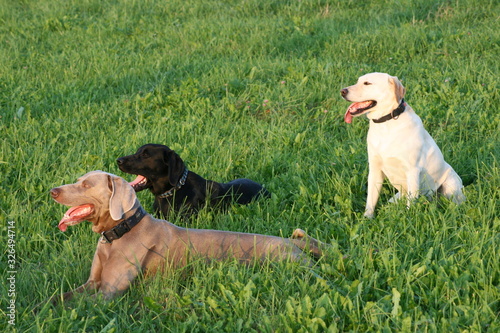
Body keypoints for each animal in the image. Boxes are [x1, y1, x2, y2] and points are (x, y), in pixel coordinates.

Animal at [49, 171, 324, 300]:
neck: (119, 232)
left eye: (86, 185)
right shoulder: (91, 283)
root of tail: (291, 241)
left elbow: (84, 306)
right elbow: (60, 298)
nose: (52, 191)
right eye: (78, 180)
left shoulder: (109, 292)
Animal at [340, 72, 464, 217]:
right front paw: (367, 218)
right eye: (358, 81)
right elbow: (371, 199)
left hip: (451, 185)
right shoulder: (375, 169)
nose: (342, 91)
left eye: (367, 83)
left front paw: (409, 217)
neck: (386, 124)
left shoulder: (412, 170)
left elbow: (411, 203)